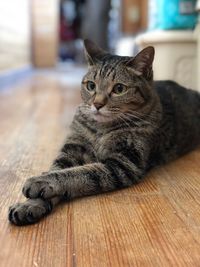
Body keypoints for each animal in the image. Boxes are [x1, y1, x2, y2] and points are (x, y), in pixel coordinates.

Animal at [8, 38, 200, 225]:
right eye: (91, 86)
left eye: (119, 89)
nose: (97, 104)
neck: (101, 129)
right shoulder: (73, 148)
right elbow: (57, 168)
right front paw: (30, 204)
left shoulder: (123, 163)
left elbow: (79, 173)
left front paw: (39, 181)